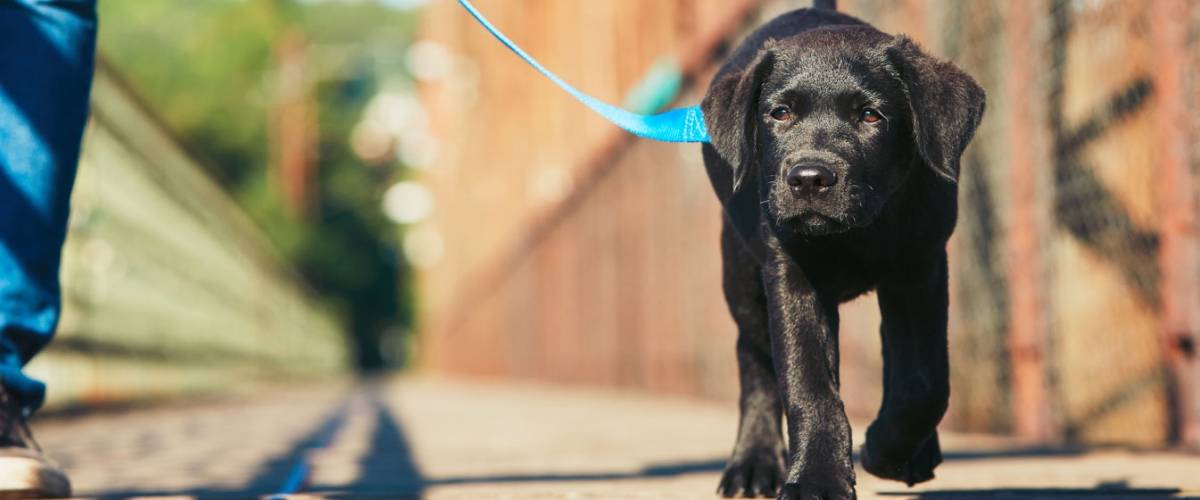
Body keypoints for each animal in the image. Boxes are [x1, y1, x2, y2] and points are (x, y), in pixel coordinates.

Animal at [700, 4, 984, 498]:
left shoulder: (921, 267)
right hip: (740, 274)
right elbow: (808, 384)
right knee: (754, 357)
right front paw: (817, 476)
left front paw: (887, 450)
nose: (809, 179)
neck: (856, 233)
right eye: (780, 113)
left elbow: (925, 381)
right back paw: (753, 463)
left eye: (871, 116)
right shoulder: (791, 275)